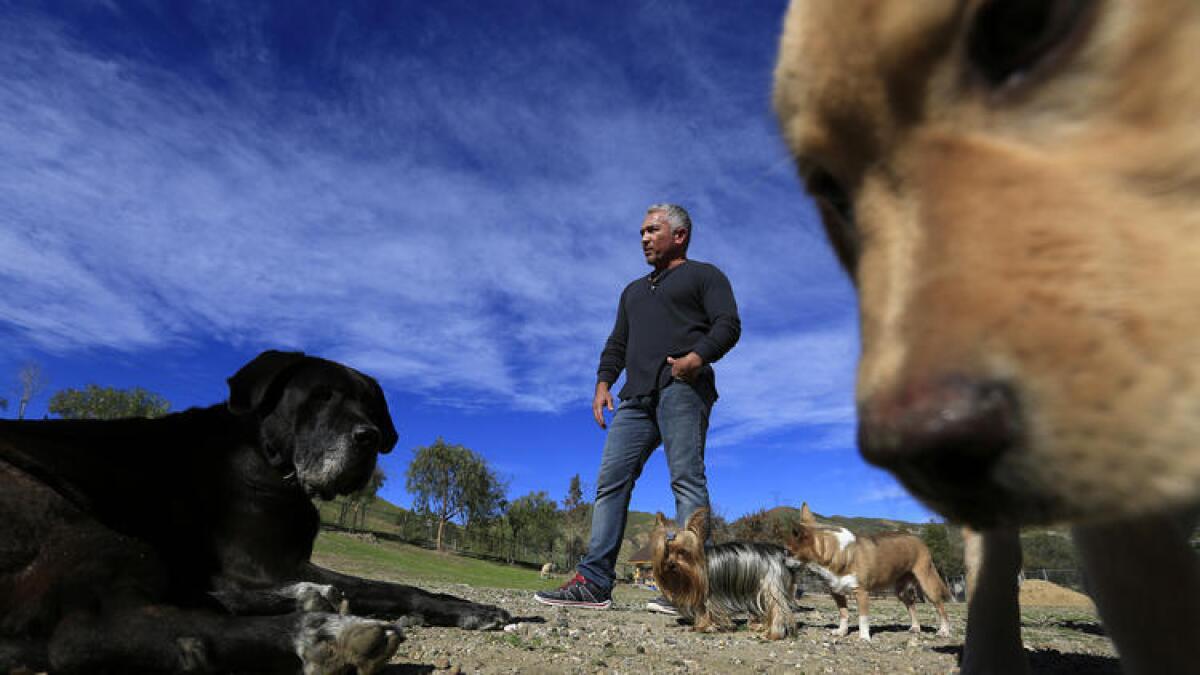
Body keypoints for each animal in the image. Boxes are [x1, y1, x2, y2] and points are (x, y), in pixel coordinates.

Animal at [652, 506, 801, 638]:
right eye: (666, 553)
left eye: (682, 552)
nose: (670, 565)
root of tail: (782, 554)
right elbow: (702, 611)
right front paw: (702, 626)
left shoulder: (710, 594)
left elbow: (710, 611)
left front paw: (709, 627)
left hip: (770, 585)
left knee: (777, 608)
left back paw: (773, 634)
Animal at [787, 502, 945, 638]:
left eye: (787, 551)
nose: (784, 561)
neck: (838, 552)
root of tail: (917, 539)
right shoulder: (837, 593)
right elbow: (843, 614)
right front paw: (842, 632)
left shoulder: (861, 592)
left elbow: (863, 618)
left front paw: (864, 637)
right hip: (901, 591)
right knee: (912, 605)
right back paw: (916, 627)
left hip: (927, 583)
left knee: (940, 607)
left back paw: (944, 631)